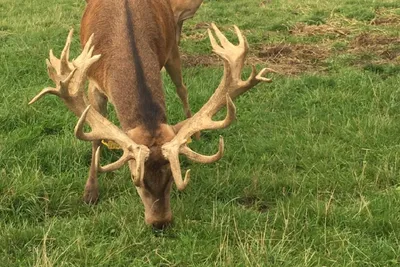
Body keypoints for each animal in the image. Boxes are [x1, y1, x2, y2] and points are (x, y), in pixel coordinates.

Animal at [28, 0, 276, 230]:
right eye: (135, 179)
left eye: (171, 179)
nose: (160, 222)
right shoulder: (94, 84)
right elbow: (96, 140)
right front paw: (90, 193)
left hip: (172, 49)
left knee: (182, 89)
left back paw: (194, 136)